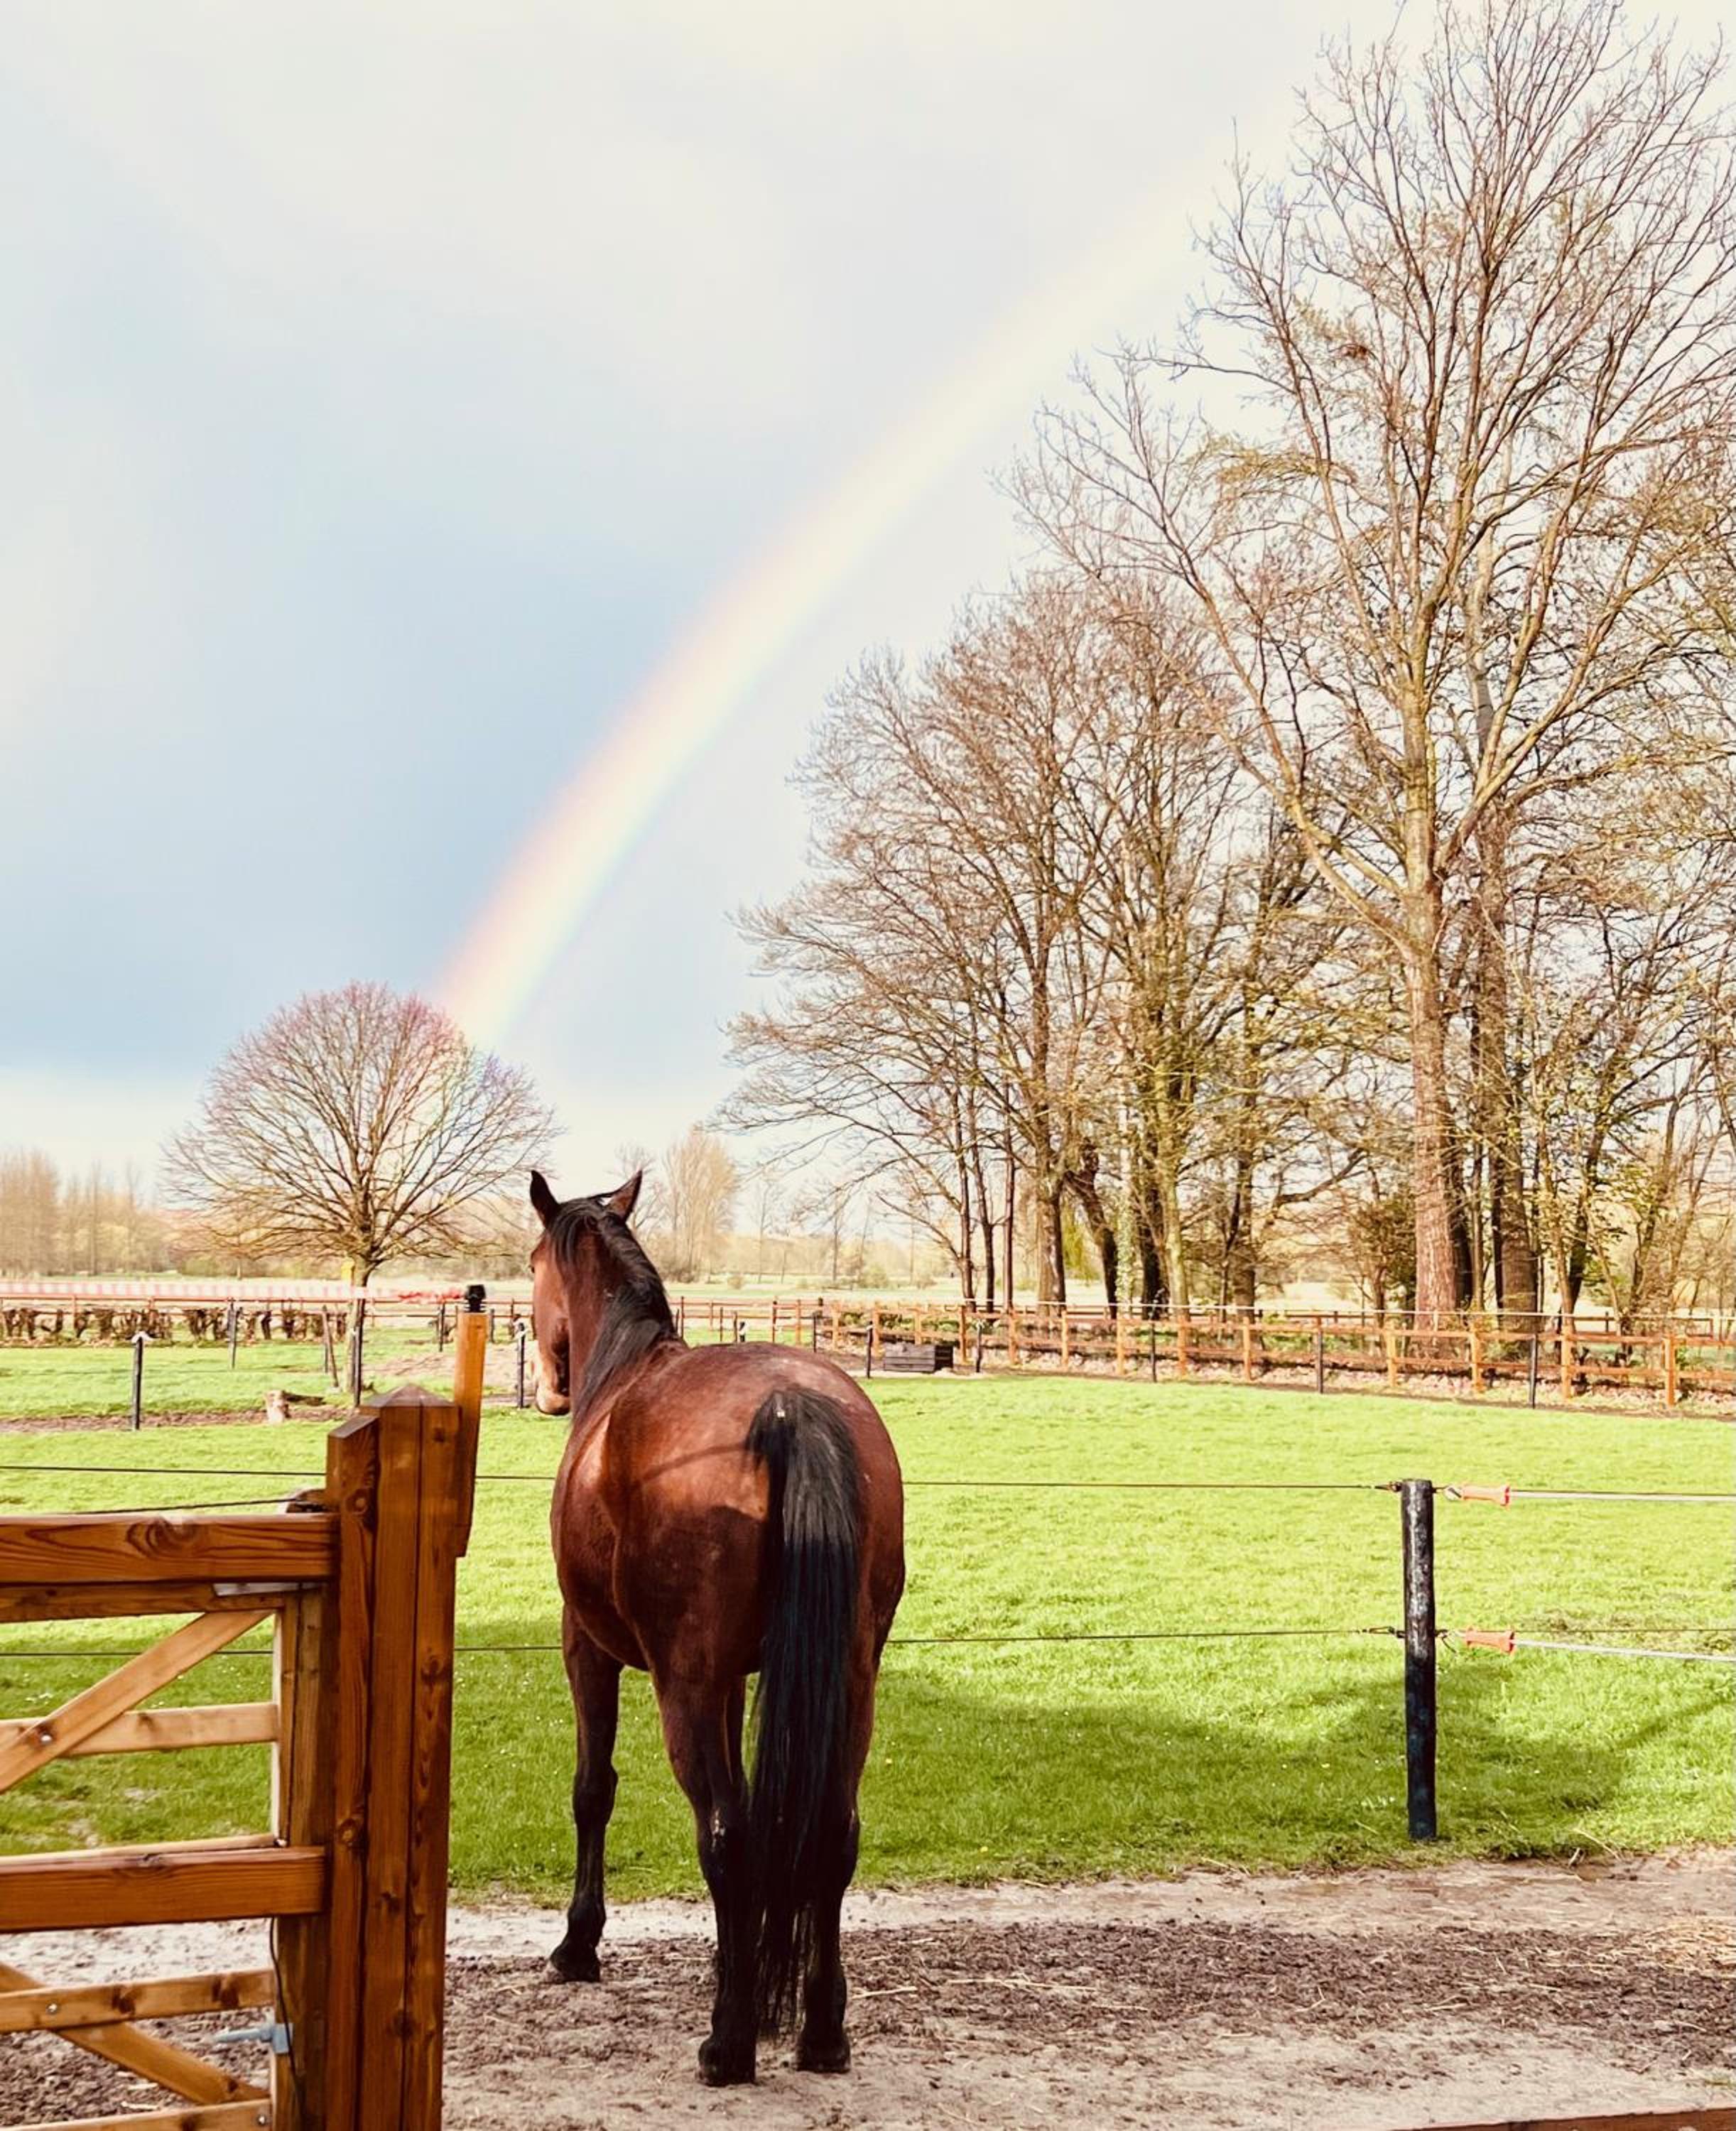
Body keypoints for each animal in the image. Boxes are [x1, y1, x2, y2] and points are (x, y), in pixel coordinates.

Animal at [527, 1168, 906, 2085]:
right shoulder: (740, 1680)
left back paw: (729, 2041)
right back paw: (820, 2031)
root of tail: (792, 1405)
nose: (550, 1387)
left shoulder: (586, 1649)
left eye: (531, 1268)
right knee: (832, 1834)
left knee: (727, 1835)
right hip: (848, 1682)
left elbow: (592, 1789)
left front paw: (578, 1945)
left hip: (684, 1688)